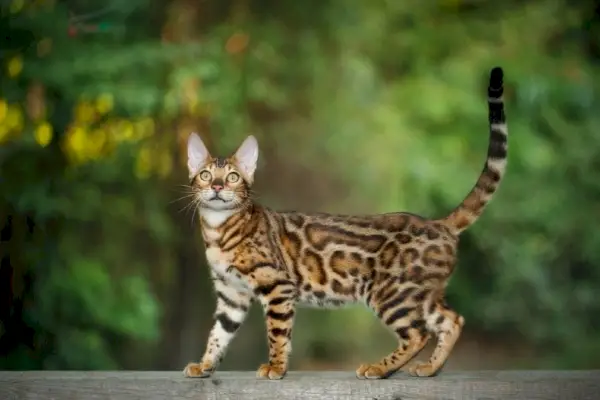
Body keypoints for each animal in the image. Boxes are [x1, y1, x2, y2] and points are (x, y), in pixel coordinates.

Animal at [182, 67, 506, 380]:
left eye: (233, 177)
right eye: (206, 175)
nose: (218, 187)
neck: (219, 229)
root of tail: (440, 224)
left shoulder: (277, 285)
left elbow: (278, 333)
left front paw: (276, 367)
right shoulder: (231, 295)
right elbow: (218, 334)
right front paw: (205, 365)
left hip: (391, 295)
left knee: (418, 334)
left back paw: (380, 368)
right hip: (420, 294)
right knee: (452, 320)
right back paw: (430, 368)